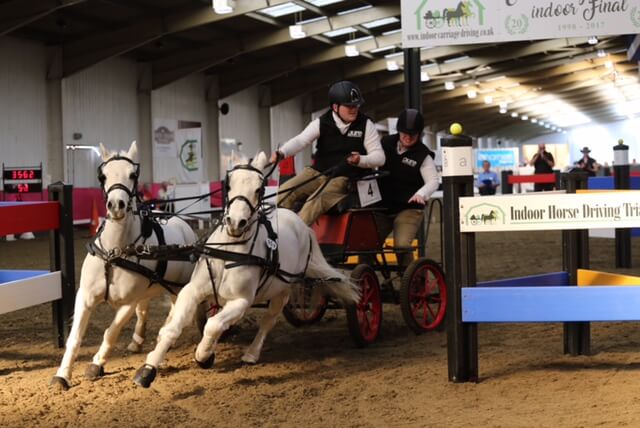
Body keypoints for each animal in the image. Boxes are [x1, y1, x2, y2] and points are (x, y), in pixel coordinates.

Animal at [50, 142, 198, 390]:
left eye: (133, 175)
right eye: (103, 176)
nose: (116, 205)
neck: (114, 252)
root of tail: (182, 223)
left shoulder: (129, 302)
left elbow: (111, 332)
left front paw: (97, 364)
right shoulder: (85, 296)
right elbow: (75, 337)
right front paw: (62, 375)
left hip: (177, 289)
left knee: (175, 313)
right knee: (145, 310)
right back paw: (137, 341)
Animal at [133, 151, 360, 388]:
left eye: (259, 188)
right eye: (228, 184)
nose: (236, 222)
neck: (229, 251)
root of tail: (302, 224)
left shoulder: (242, 301)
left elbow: (213, 325)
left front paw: (203, 355)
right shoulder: (192, 290)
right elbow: (173, 329)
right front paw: (148, 369)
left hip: (283, 290)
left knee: (268, 320)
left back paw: (251, 354)